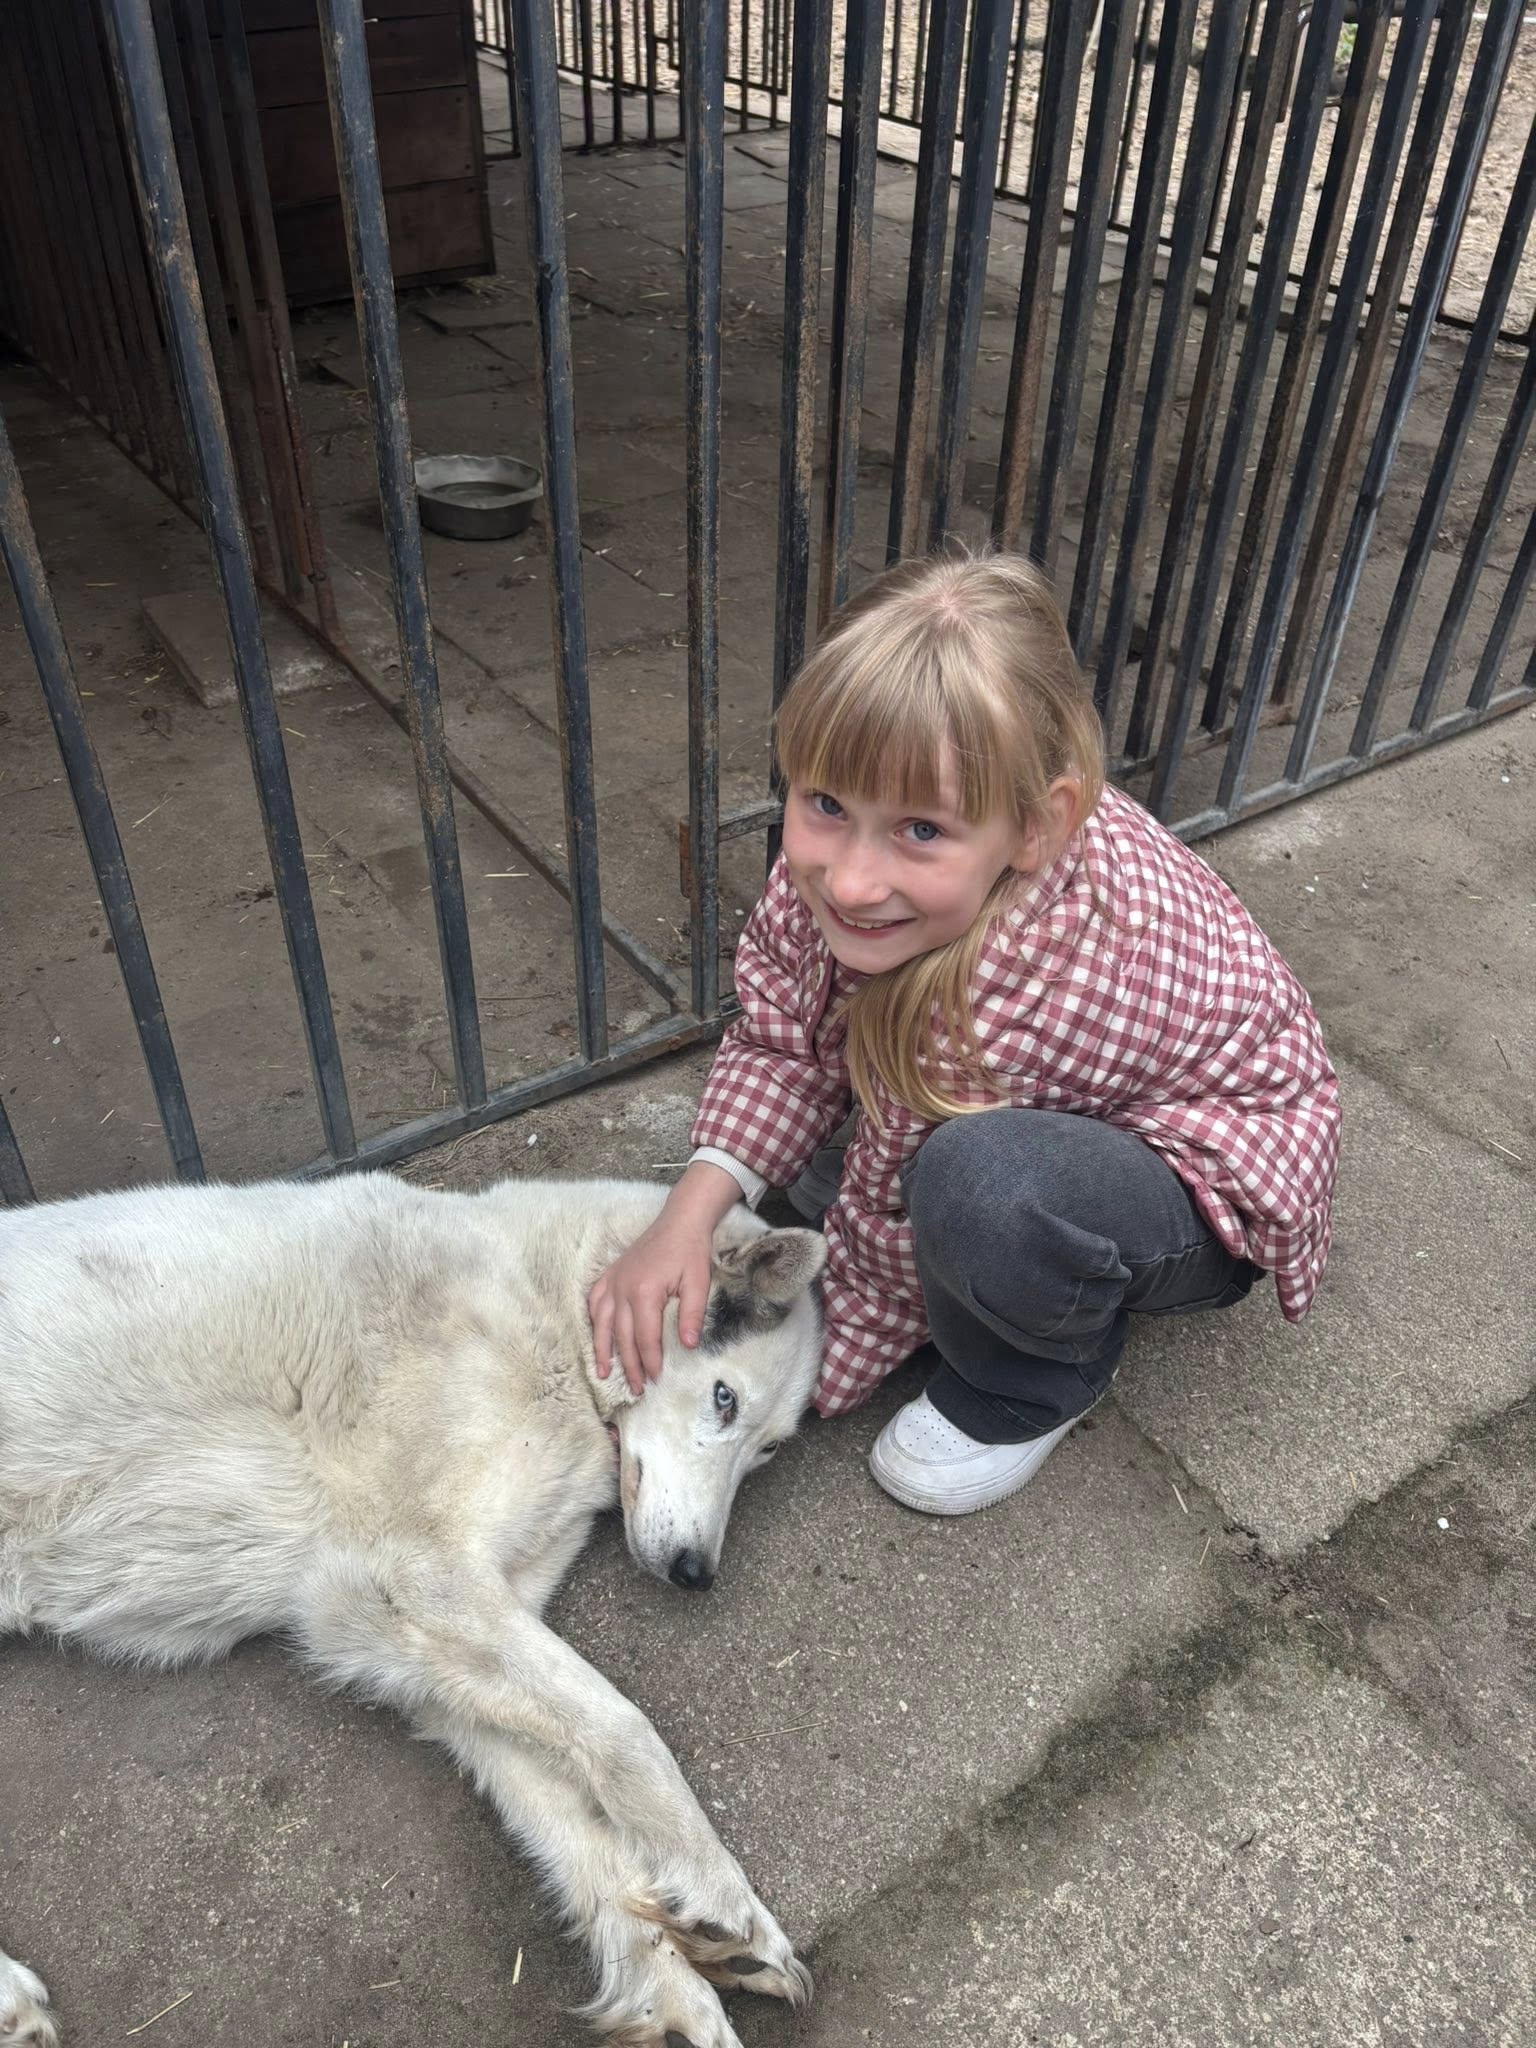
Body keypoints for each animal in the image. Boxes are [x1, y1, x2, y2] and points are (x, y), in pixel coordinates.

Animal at [0, 1171, 827, 2046]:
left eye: (769, 1449)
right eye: (723, 1399)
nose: (697, 1574)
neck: (550, 1304)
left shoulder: (437, 1654)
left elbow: (579, 1820)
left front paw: (670, 1988)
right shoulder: (410, 1582)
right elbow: (627, 1730)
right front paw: (720, 1893)